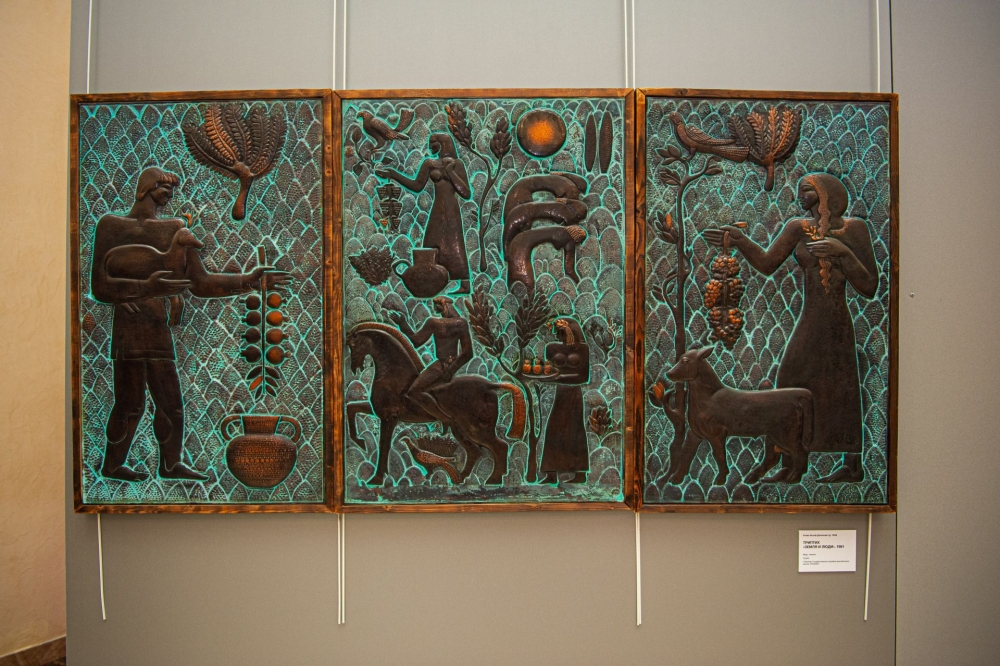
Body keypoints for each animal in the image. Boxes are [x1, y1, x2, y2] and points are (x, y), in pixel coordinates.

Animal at [345, 323, 526, 485]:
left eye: (353, 344)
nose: (354, 366)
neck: (395, 375)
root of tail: (490, 386)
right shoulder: (379, 412)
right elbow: (351, 408)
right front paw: (359, 441)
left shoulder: (389, 417)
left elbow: (384, 446)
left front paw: (376, 478)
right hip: (459, 428)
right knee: (475, 451)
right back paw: (461, 478)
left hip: (476, 429)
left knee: (500, 446)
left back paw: (493, 480)